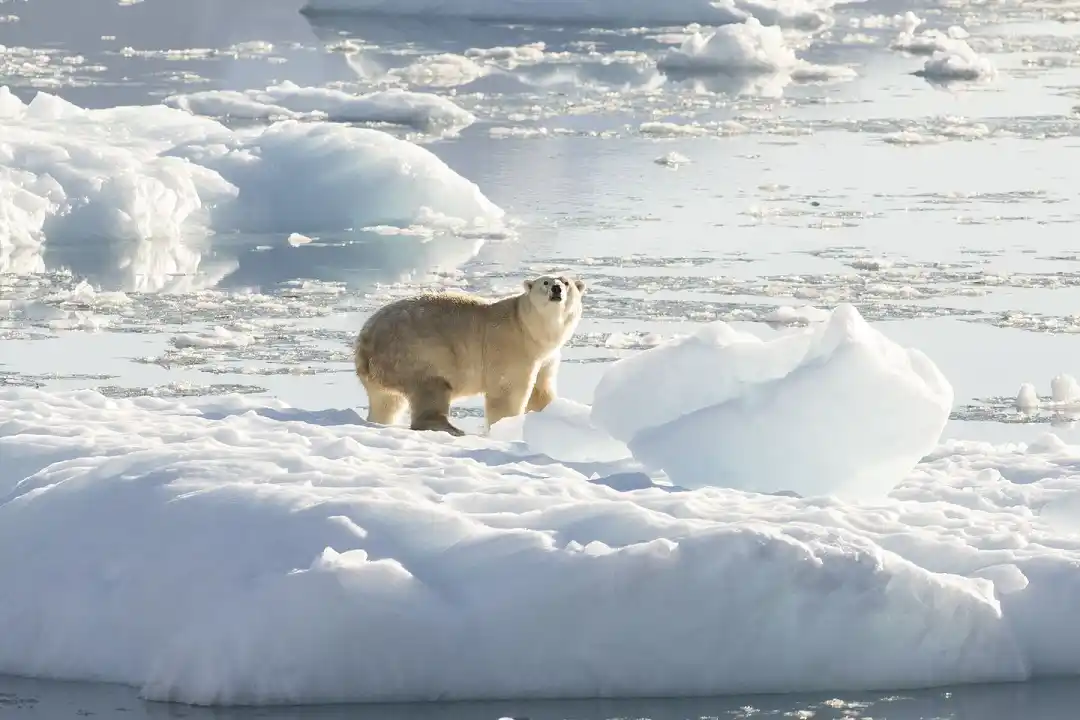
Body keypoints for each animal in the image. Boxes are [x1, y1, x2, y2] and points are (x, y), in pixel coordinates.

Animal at [353, 274, 587, 437]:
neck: (529, 328)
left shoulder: (547, 357)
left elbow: (541, 390)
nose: (556, 289)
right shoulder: (511, 348)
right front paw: (506, 427)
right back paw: (451, 428)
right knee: (432, 386)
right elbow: (508, 391)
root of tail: (365, 340)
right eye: (545, 282)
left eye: (566, 282)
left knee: (387, 402)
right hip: (416, 352)